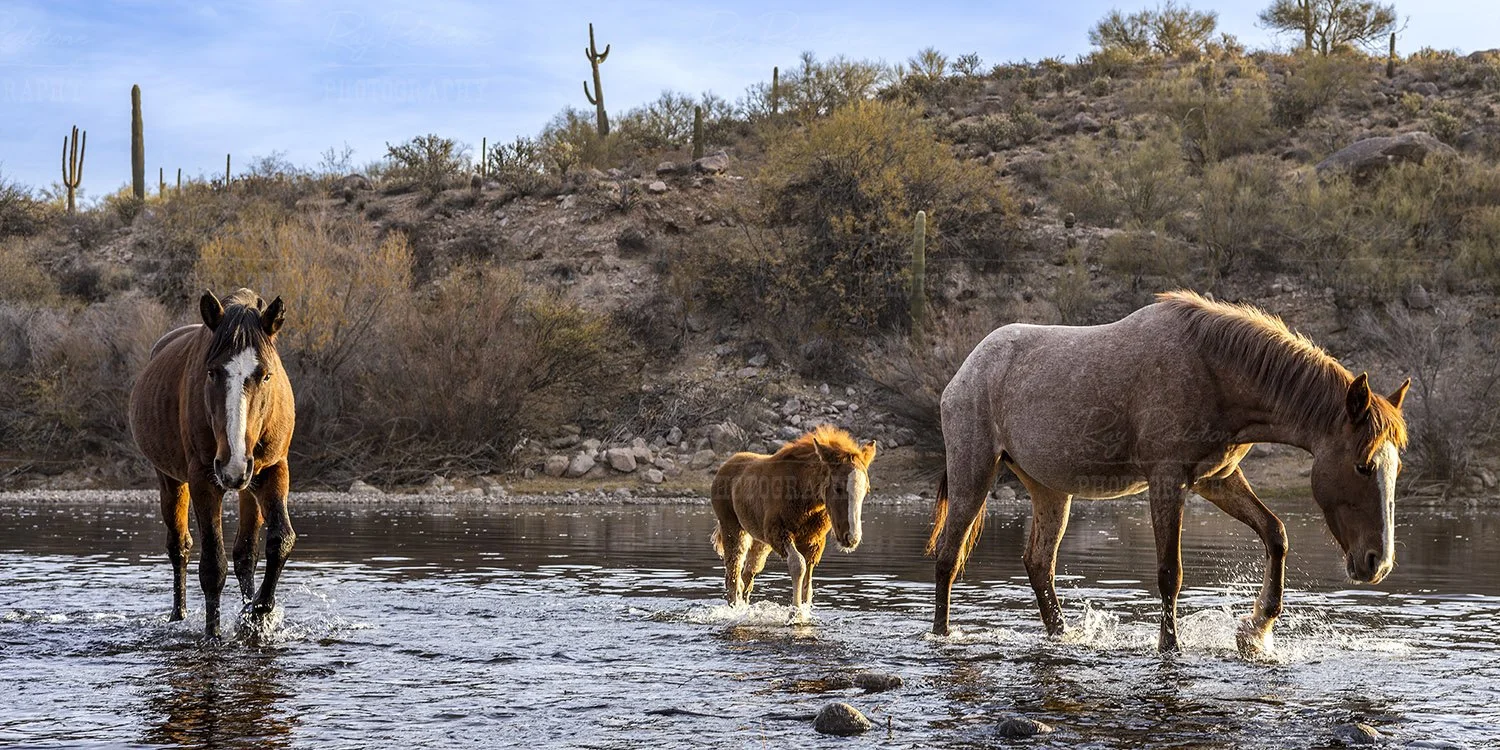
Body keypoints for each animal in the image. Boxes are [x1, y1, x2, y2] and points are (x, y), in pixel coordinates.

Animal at [129, 288, 296, 638]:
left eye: (266, 374)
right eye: (211, 371)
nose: (232, 464)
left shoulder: (273, 470)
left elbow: (279, 541)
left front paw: (258, 612)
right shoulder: (203, 479)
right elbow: (212, 565)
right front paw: (214, 634)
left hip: (249, 483)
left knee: (245, 554)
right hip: (171, 481)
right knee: (180, 547)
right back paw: (178, 615)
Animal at [711, 425, 878, 616]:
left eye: (867, 490)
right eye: (838, 487)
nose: (851, 538)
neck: (806, 496)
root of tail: (723, 468)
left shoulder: (814, 541)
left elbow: (808, 583)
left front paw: (804, 611)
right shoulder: (778, 532)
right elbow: (798, 565)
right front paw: (795, 612)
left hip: (760, 541)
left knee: (748, 574)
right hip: (732, 527)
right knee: (733, 573)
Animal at [928, 291, 1409, 655]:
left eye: (1395, 467)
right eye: (1363, 465)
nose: (1377, 563)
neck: (1214, 370)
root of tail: (965, 372)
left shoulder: (1217, 480)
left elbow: (1276, 534)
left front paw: (1256, 629)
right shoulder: (1167, 481)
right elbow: (1169, 573)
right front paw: (1170, 647)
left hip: (1050, 491)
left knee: (1038, 564)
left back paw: (1062, 635)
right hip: (975, 474)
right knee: (948, 557)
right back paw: (942, 634)